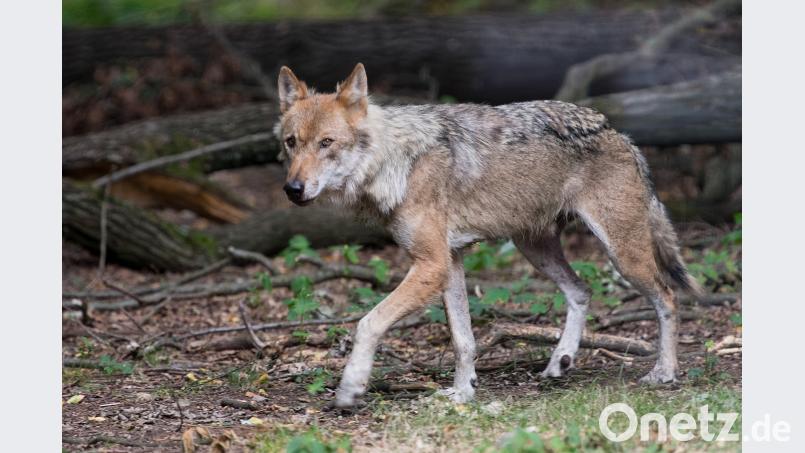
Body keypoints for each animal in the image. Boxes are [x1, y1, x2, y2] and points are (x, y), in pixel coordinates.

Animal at [275, 63, 701, 408]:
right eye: (291, 142)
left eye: (327, 143)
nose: (292, 189)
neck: (394, 162)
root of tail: (616, 130)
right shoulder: (449, 263)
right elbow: (463, 340)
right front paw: (463, 393)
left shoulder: (431, 265)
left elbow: (368, 323)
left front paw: (351, 387)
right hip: (535, 249)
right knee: (582, 290)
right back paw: (560, 360)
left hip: (621, 255)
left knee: (667, 297)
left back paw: (665, 372)